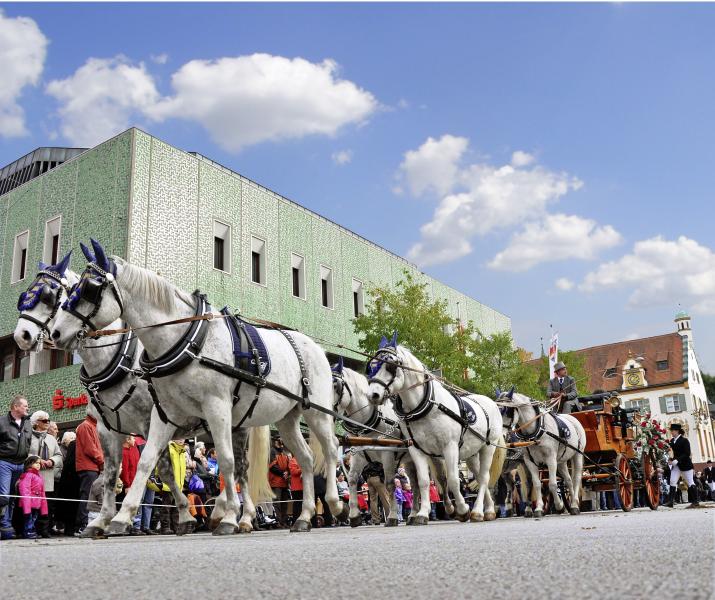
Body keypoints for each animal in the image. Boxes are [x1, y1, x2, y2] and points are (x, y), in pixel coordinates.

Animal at [14, 255, 272, 536]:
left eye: (48, 296)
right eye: (25, 294)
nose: (21, 336)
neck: (119, 358)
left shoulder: (151, 421)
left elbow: (161, 468)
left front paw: (176, 514)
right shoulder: (107, 428)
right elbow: (113, 472)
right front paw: (102, 519)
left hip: (236, 423)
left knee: (240, 469)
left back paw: (237, 515)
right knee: (237, 470)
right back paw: (232, 515)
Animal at [51, 239, 344, 536]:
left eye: (89, 289)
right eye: (70, 291)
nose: (55, 333)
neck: (187, 340)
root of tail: (316, 348)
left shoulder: (216, 407)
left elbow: (225, 461)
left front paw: (228, 518)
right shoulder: (161, 415)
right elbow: (146, 461)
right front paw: (121, 517)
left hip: (316, 412)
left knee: (330, 449)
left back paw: (336, 503)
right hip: (286, 418)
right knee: (305, 459)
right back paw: (303, 516)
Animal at [366, 338, 506, 524]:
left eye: (390, 366)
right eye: (372, 366)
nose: (372, 395)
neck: (426, 406)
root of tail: (491, 402)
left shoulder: (450, 447)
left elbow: (453, 480)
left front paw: (463, 510)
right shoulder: (417, 449)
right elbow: (424, 481)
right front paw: (422, 513)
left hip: (488, 447)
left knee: (484, 477)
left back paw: (476, 511)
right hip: (472, 453)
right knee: (478, 476)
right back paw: (488, 511)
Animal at [498, 386, 588, 516]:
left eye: (507, 411)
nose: (501, 437)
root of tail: (573, 418)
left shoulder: (550, 459)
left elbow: (552, 484)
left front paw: (559, 506)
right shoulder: (529, 461)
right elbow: (536, 484)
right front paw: (539, 508)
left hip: (577, 455)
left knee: (576, 478)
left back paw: (574, 504)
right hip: (561, 461)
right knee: (568, 480)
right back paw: (572, 504)